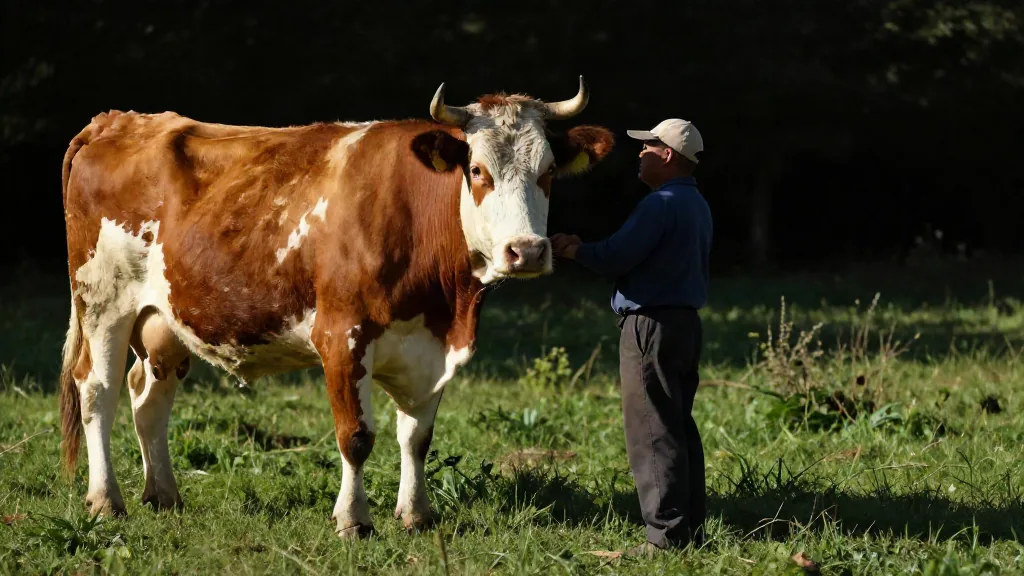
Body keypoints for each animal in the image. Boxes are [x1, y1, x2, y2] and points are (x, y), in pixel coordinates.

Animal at [58, 77, 614, 538]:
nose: (527, 251)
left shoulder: (428, 349)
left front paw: (417, 515)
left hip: (164, 321)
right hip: (103, 301)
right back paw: (106, 500)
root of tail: (116, 120)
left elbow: (417, 437)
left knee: (148, 397)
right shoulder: (342, 337)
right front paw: (353, 520)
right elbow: (356, 437)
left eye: (548, 172)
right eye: (477, 170)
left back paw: (164, 495)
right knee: (98, 391)